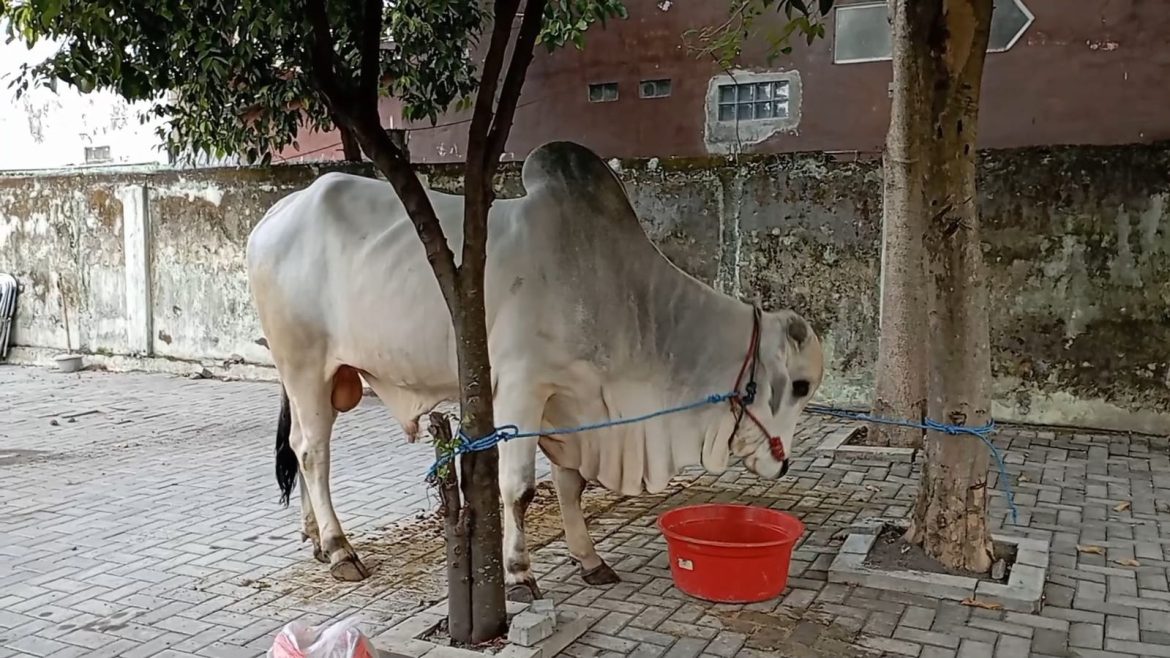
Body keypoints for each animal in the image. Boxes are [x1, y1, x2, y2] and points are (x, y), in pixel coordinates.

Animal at [246, 141, 823, 597]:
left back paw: (314, 538)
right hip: (304, 364)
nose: (784, 465)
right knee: (313, 452)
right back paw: (340, 549)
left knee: (300, 445)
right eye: (798, 385)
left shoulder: (573, 403)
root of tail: (275, 215)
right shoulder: (522, 390)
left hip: (315, 377)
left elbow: (571, 484)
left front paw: (589, 558)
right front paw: (520, 574)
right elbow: (518, 488)